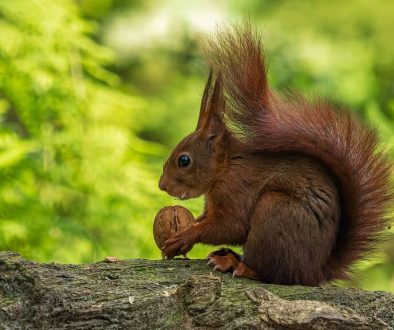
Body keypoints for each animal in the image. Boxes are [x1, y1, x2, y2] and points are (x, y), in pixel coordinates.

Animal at [159, 24, 392, 286]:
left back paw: (236, 264)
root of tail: (314, 272)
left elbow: (230, 226)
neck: (226, 167)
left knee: (273, 273)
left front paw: (185, 236)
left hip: (275, 212)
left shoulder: (237, 190)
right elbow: (208, 219)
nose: (162, 185)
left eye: (184, 160)